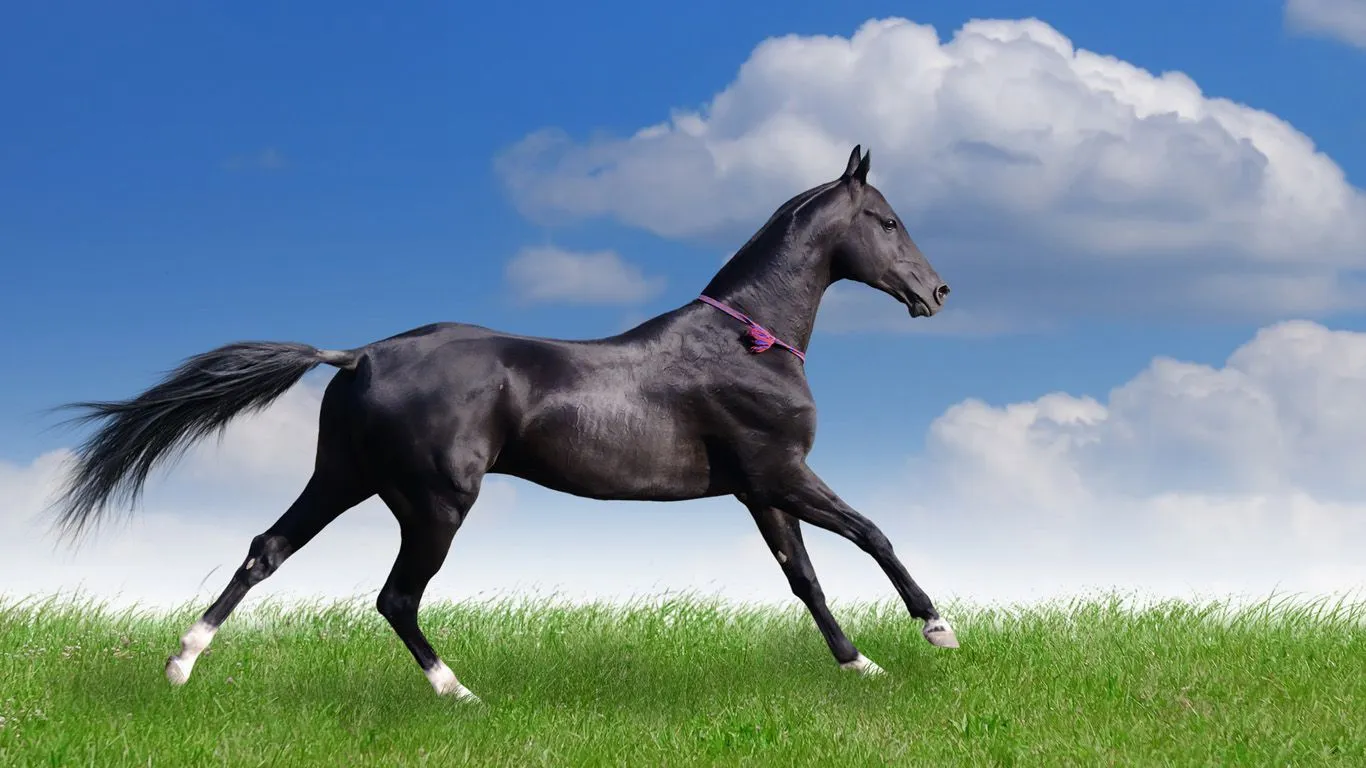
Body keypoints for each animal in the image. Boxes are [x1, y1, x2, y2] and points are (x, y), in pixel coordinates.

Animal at [48, 144, 956, 699]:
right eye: (886, 221)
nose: (937, 291)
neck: (747, 341)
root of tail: (358, 357)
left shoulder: (759, 489)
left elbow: (804, 579)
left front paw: (861, 665)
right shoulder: (781, 472)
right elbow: (872, 534)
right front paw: (937, 630)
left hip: (342, 478)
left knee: (267, 551)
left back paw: (180, 663)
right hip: (435, 503)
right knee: (395, 597)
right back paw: (458, 692)